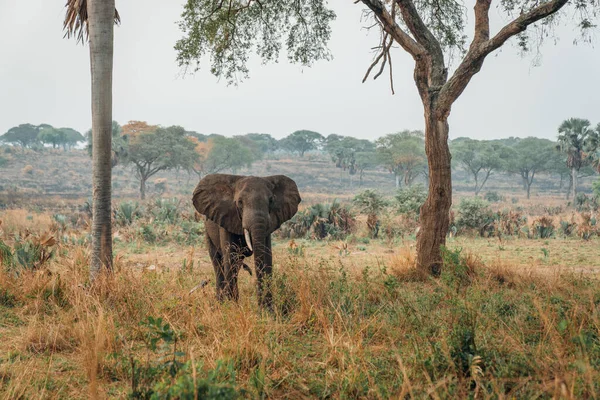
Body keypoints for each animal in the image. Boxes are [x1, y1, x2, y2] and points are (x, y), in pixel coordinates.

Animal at [193, 173, 300, 308]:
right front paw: (231, 307)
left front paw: (267, 309)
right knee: (218, 264)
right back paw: (220, 303)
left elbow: (266, 256)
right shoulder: (225, 217)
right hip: (207, 232)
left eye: (271, 200)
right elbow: (230, 257)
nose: (262, 305)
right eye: (239, 202)